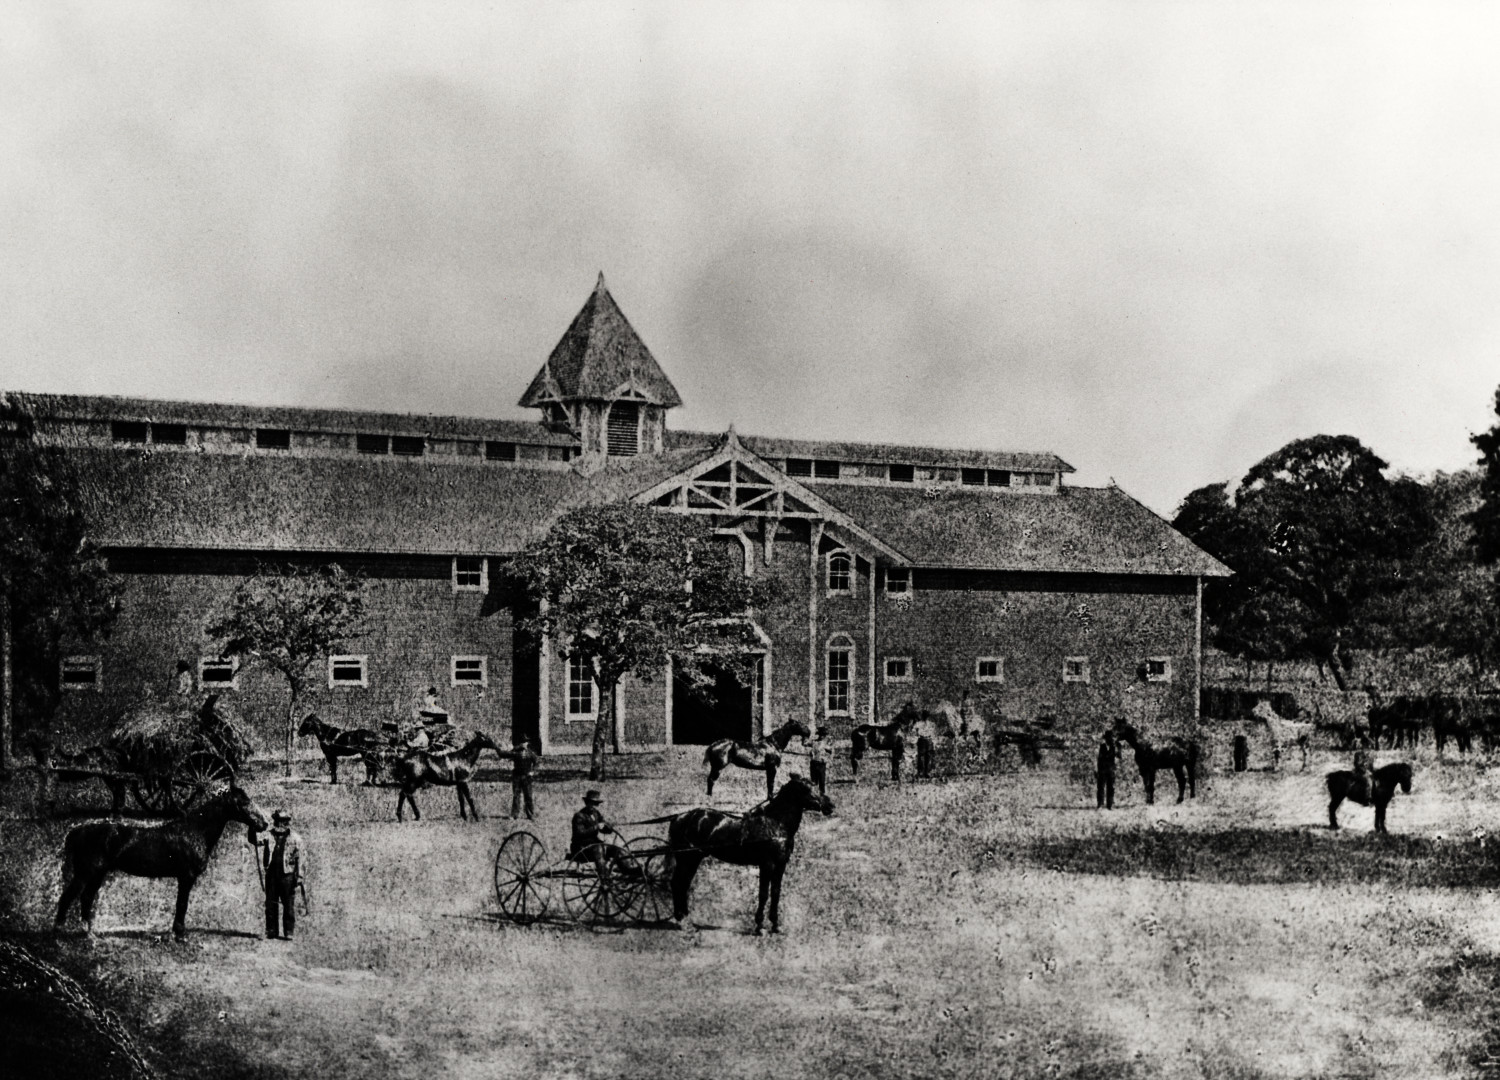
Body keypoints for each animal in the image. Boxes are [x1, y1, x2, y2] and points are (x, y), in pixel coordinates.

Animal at [54, 780, 267, 942]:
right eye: (243, 802)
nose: (263, 824)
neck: (195, 831)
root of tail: (76, 831)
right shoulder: (186, 877)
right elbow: (182, 904)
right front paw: (180, 935)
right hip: (86, 873)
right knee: (67, 898)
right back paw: (60, 932)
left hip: (97, 874)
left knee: (86, 898)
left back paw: (90, 935)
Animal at [666, 774, 834, 930]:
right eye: (806, 788)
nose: (830, 805)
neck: (775, 824)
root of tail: (679, 818)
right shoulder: (767, 864)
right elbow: (763, 894)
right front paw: (759, 925)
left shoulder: (781, 864)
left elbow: (776, 892)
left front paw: (775, 924)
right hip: (687, 859)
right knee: (677, 883)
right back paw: (681, 919)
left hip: (693, 859)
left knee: (684, 884)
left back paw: (685, 916)